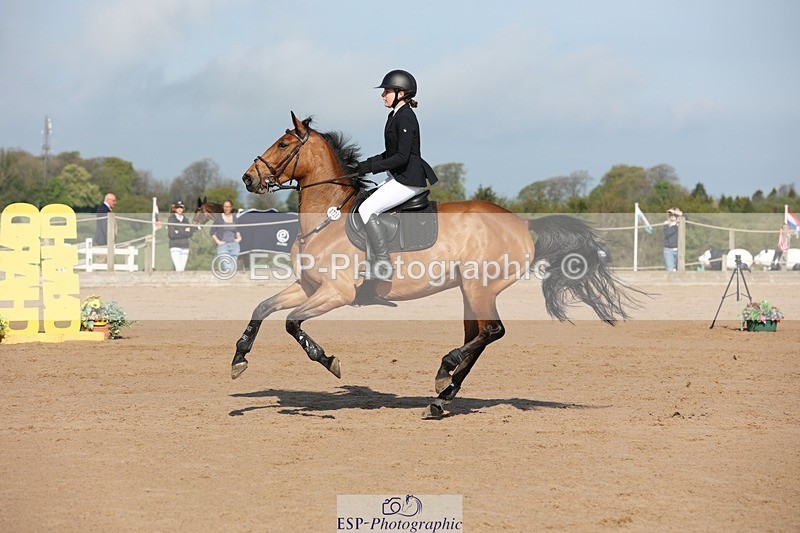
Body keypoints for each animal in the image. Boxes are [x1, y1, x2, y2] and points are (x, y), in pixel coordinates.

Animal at [232, 111, 643, 418]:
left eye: (283, 144)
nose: (249, 178)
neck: (327, 219)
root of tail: (523, 225)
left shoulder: (337, 293)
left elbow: (291, 323)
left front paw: (328, 360)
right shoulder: (308, 287)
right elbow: (262, 307)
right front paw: (239, 358)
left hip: (479, 286)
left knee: (492, 331)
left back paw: (445, 372)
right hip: (468, 290)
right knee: (478, 336)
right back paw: (442, 397)